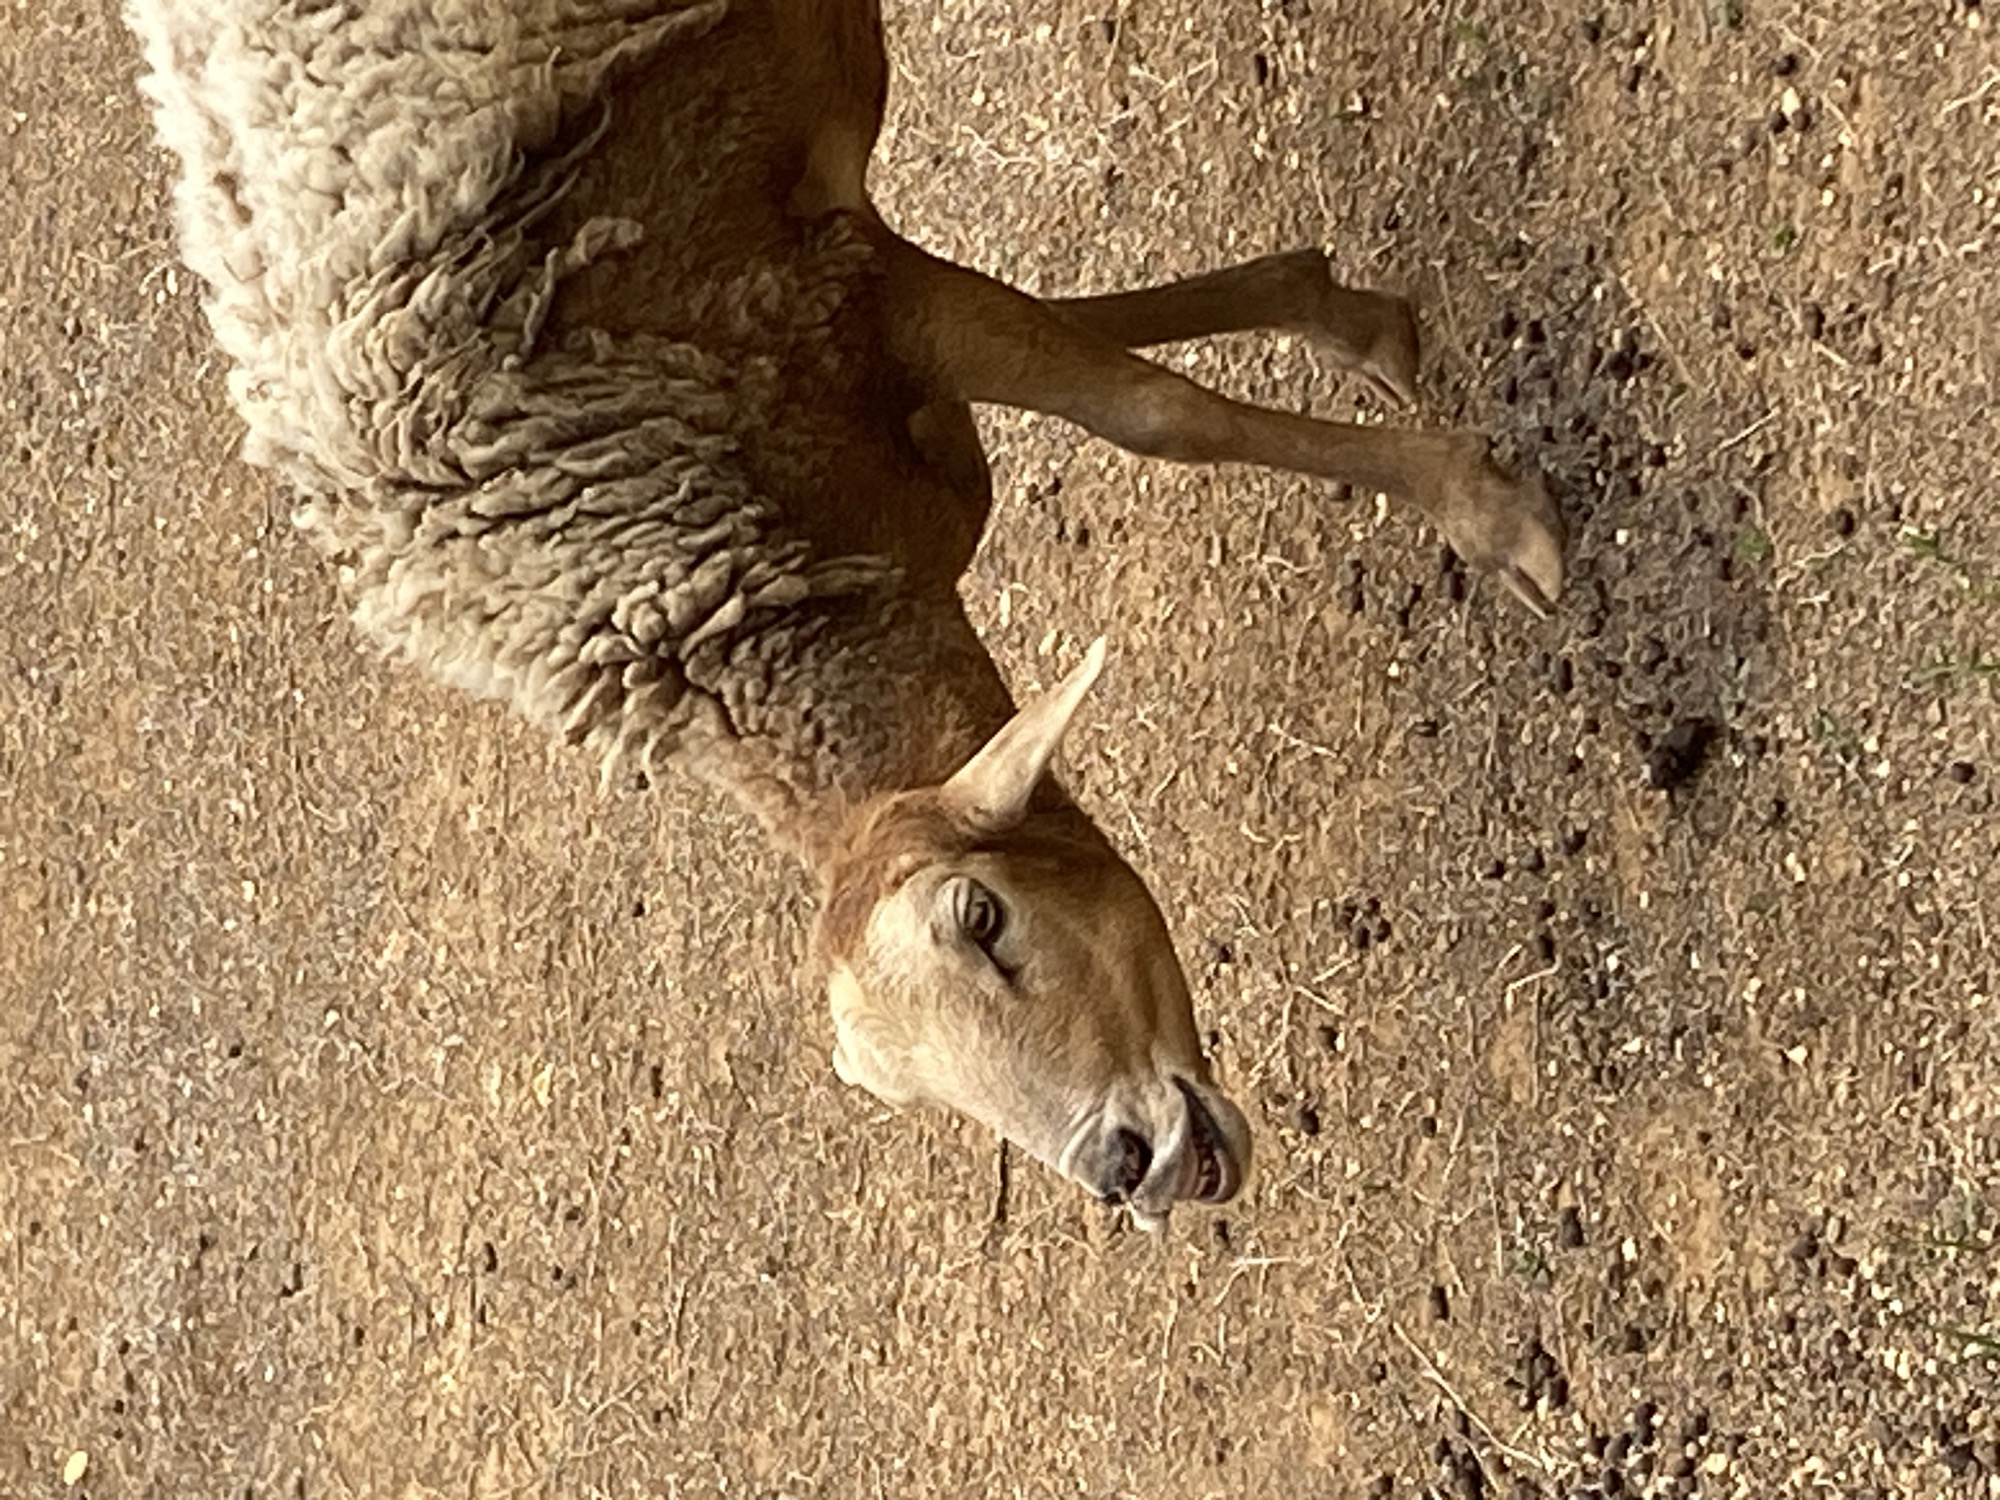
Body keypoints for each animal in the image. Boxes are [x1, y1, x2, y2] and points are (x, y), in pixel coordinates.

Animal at [128, 0, 1565, 1227]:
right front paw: (1337, 313)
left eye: (983, 921)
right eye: (900, 1087)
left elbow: (1153, 416)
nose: (1123, 1164)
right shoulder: (853, 320)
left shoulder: (825, 291)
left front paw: (1487, 510)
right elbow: (1098, 343)